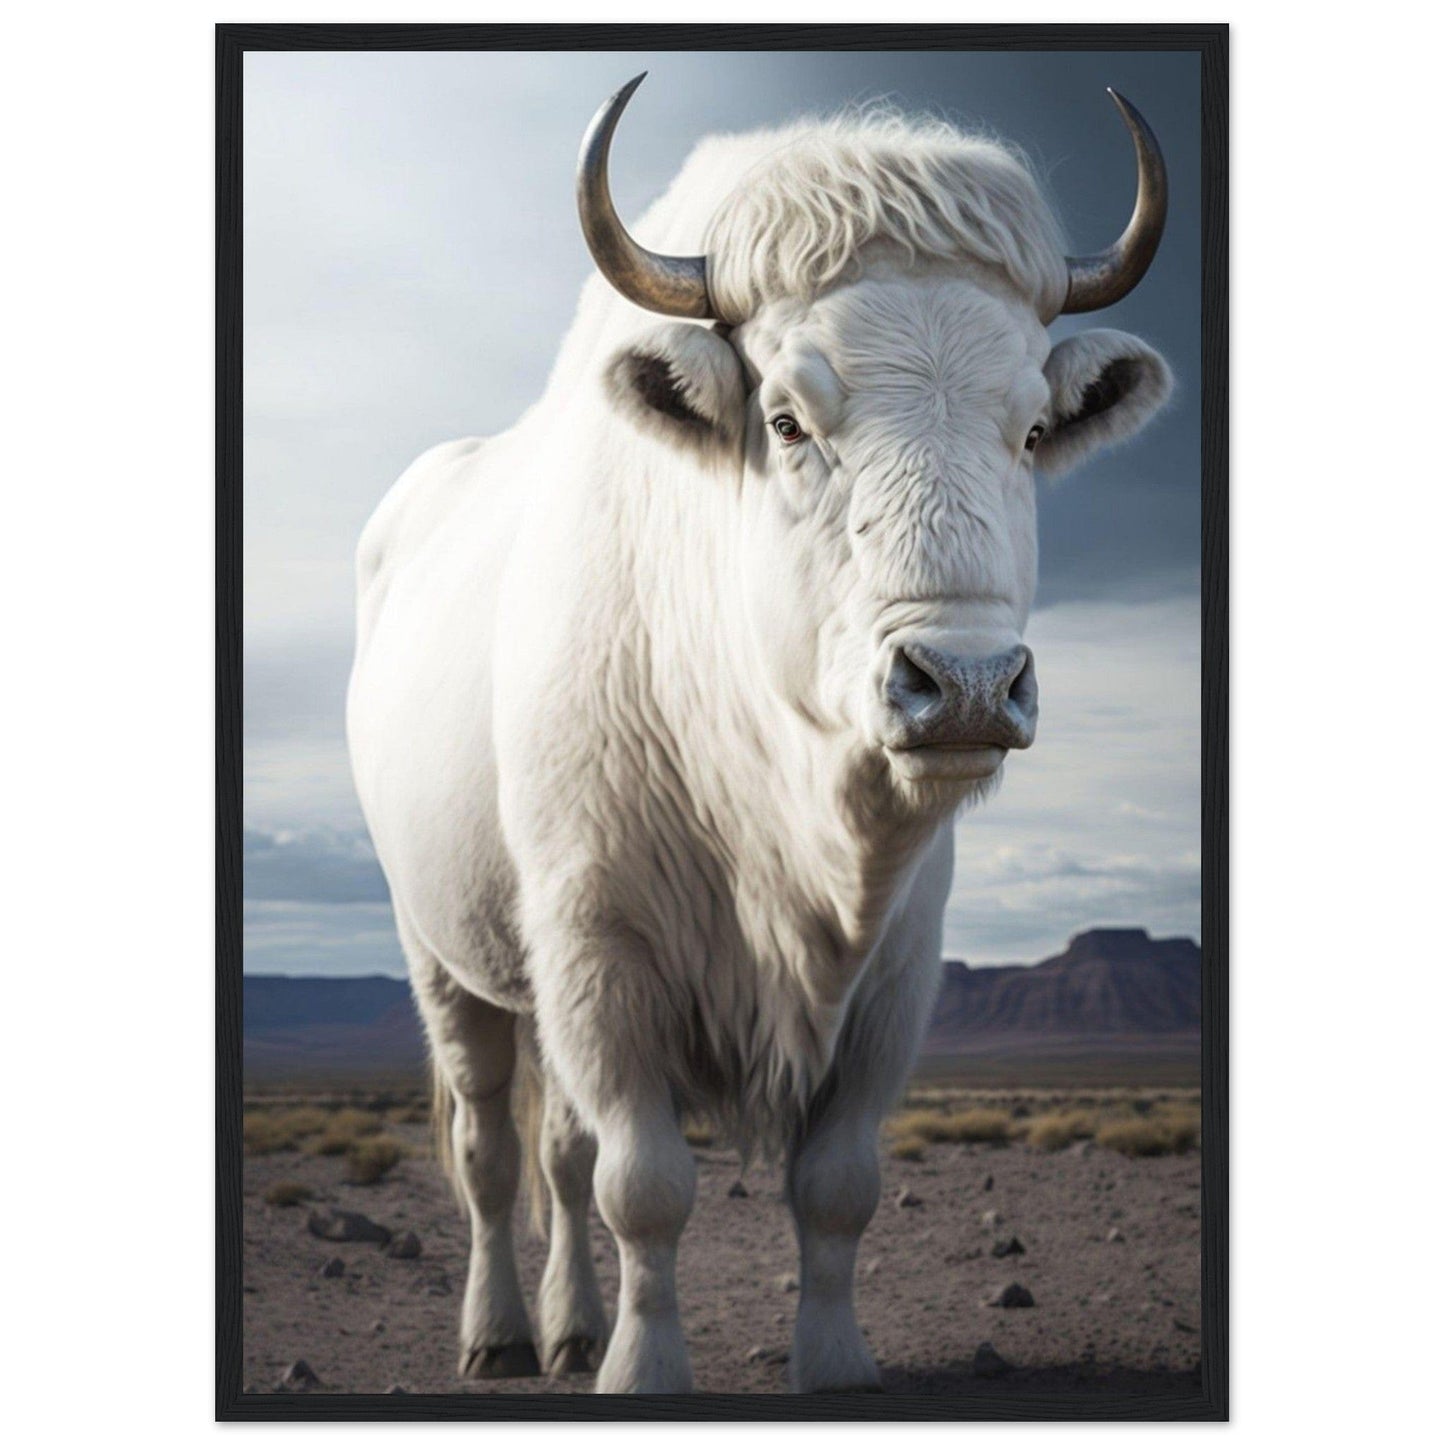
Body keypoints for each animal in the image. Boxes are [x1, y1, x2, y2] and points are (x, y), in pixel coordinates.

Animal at [346, 76, 1173, 1394]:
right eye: (786, 420)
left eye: (1034, 430)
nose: (966, 682)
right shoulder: (599, 952)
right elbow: (643, 1183)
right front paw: (644, 1368)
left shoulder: (894, 977)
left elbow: (834, 1184)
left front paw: (830, 1362)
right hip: (443, 953)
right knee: (491, 1149)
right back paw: (501, 1332)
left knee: (559, 1153)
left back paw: (571, 1321)